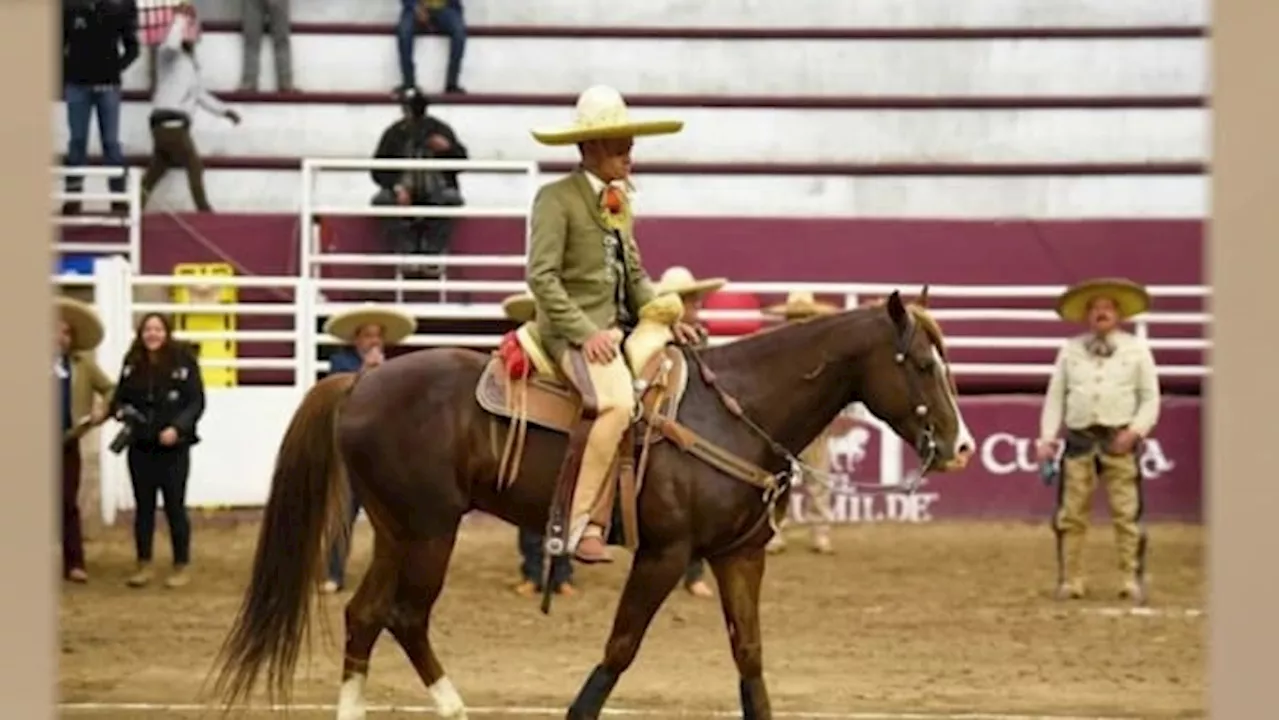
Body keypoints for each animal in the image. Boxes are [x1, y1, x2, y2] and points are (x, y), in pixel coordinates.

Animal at [209, 288, 967, 712]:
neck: (738, 411)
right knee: (403, 616)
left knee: (366, 616)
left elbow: (750, 662)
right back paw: (455, 708)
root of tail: (361, 382)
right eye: (918, 363)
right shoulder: (665, 555)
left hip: (399, 530)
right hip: (428, 532)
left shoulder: (738, 556)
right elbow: (619, 651)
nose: (959, 447)